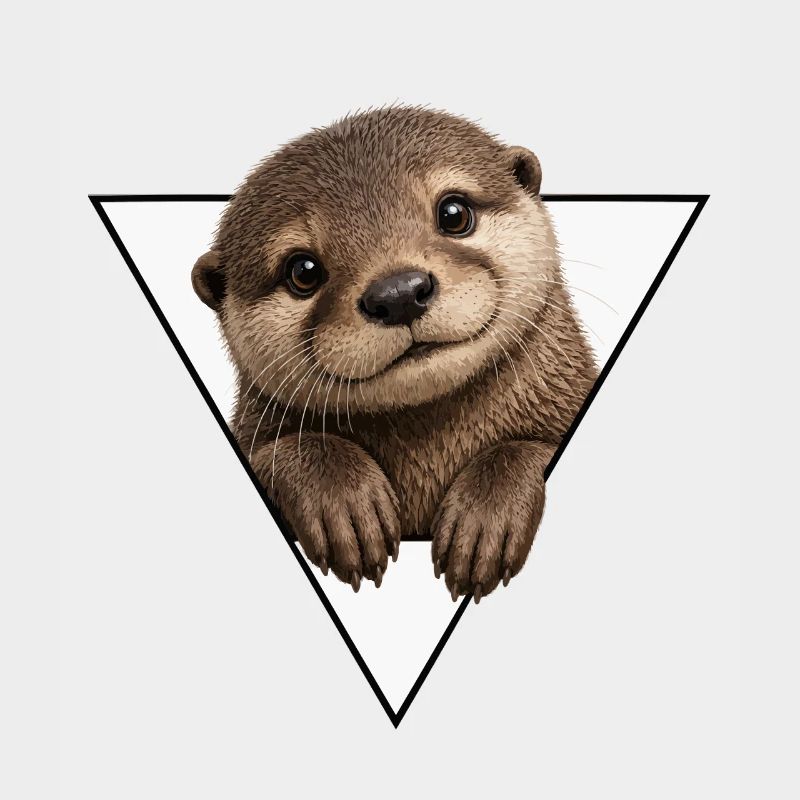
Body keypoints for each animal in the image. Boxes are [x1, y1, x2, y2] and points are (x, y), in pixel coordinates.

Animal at [191, 107, 597, 602]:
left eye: (454, 213)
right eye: (302, 271)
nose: (399, 293)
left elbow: (528, 448)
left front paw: (486, 517)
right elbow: (280, 450)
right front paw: (342, 501)